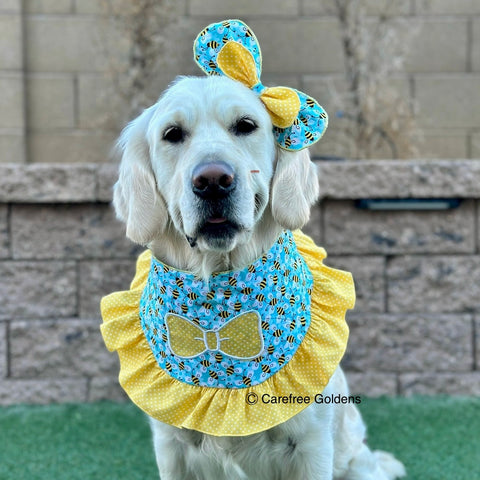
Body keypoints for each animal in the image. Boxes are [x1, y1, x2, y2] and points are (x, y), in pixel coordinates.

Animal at [111, 76, 404, 480]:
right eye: (172, 134)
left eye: (245, 126)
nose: (213, 180)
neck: (219, 290)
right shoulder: (172, 448)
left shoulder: (312, 444)